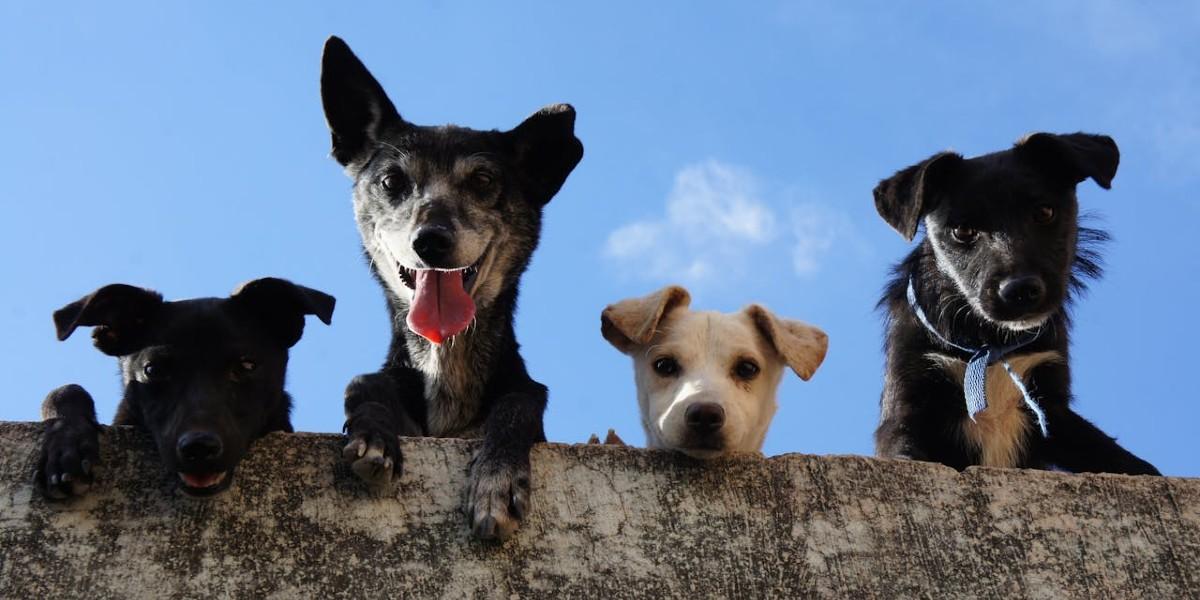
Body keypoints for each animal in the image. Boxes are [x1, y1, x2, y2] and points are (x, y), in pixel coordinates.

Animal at [316, 37, 583, 540]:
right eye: (392, 181)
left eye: (483, 180)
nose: (431, 240)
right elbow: (362, 383)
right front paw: (373, 435)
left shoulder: (523, 399)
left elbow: (519, 402)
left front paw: (496, 481)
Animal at [878, 133, 1156, 475]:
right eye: (962, 231)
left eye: (1045, 212)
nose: (1020, 290)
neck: (990, 345)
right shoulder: (908, 404)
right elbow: (905, 453)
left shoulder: (1052, 408)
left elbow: (1121, 458)